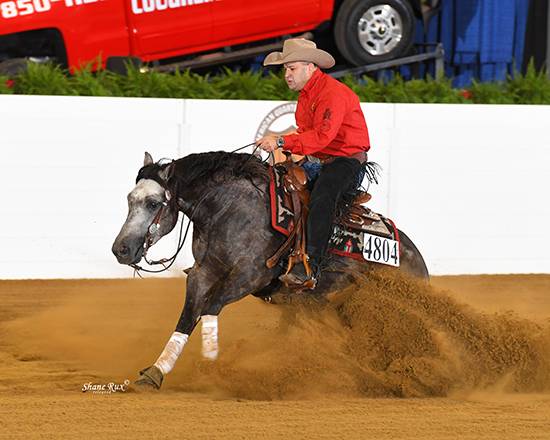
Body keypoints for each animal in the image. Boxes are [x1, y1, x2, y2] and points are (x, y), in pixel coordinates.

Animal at [113, 151, 432, 388]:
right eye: (129, 199)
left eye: (153, 202)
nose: (121, 250)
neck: (228, 208)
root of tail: (417, 259)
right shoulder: (203, 273)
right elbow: (187, 317)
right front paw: (155, 372)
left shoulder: (249, 277)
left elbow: (211, 307)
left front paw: (211, 363)